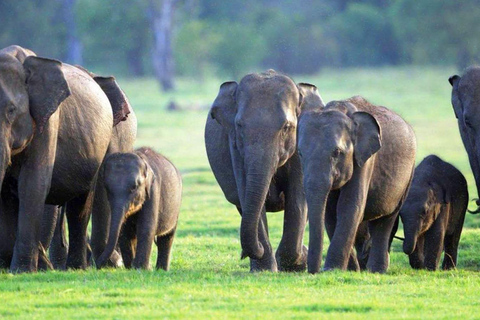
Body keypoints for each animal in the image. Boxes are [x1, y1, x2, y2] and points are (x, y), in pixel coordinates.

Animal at [0, 45, 135, 272]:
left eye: (11, 110)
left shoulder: (49, 121)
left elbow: (33, 183)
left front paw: (23, 270)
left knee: (81, 206)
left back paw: (79, 266)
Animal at [204, 70, 324, 272]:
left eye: (287, 127)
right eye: (239, 125)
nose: (243, 254)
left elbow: (298, 198)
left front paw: (294, 264)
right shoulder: (235, 148)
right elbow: (247, 193)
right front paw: (264, 269)